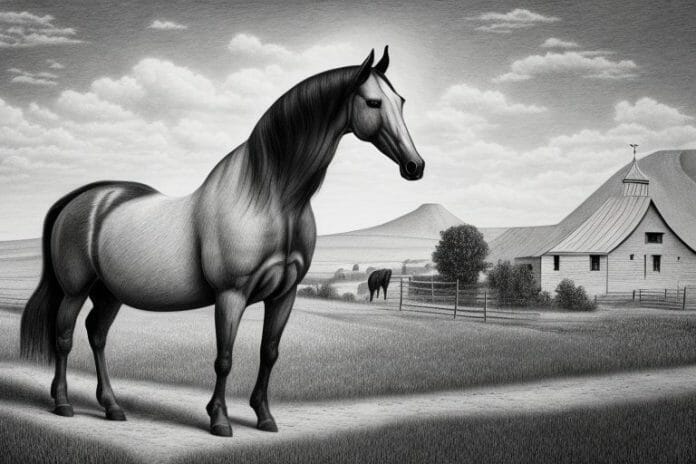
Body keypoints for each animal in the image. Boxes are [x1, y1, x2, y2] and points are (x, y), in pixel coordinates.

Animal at [19, 46, 424, 437]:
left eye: (401, 101)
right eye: (373, 102)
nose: (415, 166)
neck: (269, 199)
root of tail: (85, 198)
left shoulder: (284, 294)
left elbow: (269, 352)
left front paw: (264, 416)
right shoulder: (231, 295)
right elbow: (224, 358)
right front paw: (219, 420)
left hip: (109, 293)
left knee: (97, 335)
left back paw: (112, 407)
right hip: (76, 290)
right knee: (64, 336)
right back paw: (63, 403)